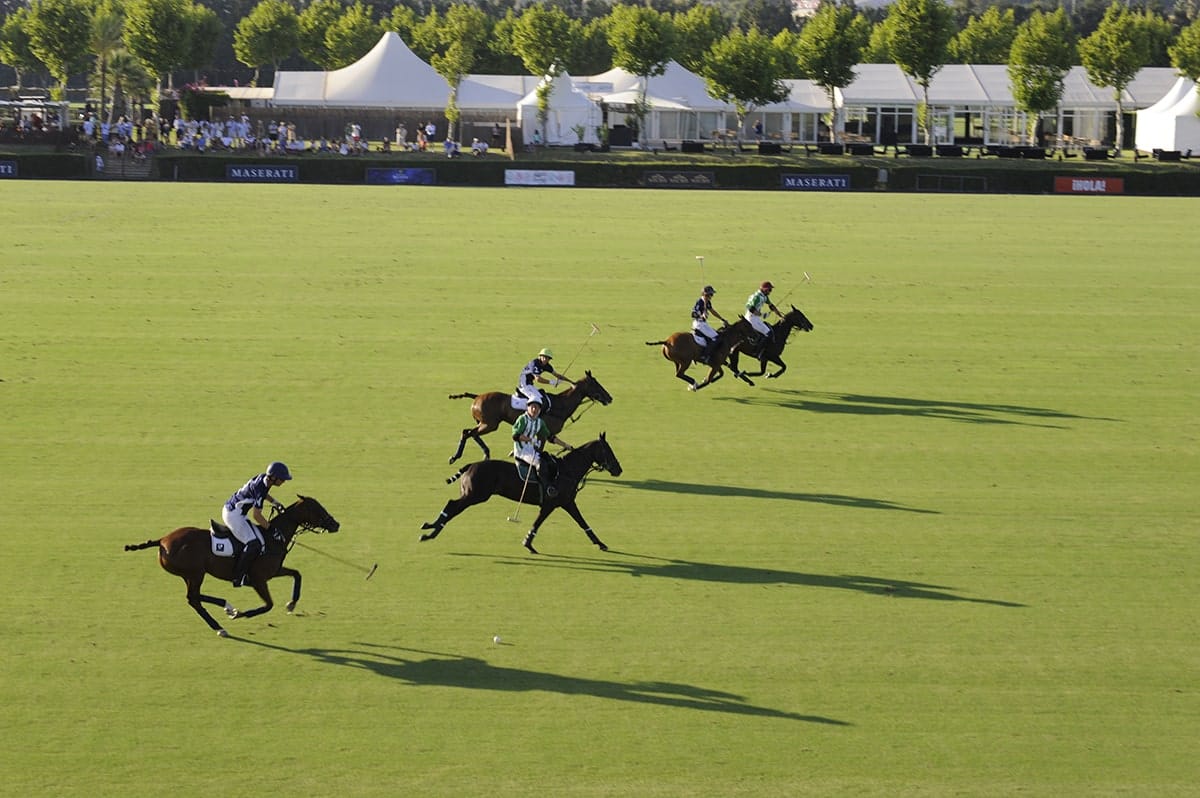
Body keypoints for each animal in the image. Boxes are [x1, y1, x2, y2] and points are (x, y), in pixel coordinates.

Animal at [124, 494, 340, 638]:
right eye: (317, 509)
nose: (336, 525)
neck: (273, 538)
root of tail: (162, 541)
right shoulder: (259, 579)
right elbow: (268, 605)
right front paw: (243, 614)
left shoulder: (273, 571)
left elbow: (297, 574)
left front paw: (291, 604)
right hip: (195, 573)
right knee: (193, 598)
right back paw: (223, 621)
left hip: (191, 574)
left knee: (194, 598)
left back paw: (226, 611)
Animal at [422, 436, 624, 554]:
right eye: (608, 450)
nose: (618, 470)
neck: (567, 471)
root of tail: (471, 465)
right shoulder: (556, 503)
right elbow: (545, 522)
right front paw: (528, 544)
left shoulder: (564, 503)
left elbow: (580, 522)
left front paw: (600, 543)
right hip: (475, 495)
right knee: (452, 505)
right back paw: (430, 533)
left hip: (473, 495)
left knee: (452, 505)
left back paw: (429, 528)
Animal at [446, 369, 614, 463]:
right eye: (596, 384)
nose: (610, 398)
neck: (560, 404)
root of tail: (477, 397)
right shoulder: (543, 435)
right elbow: (538, 450)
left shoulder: (549, 434)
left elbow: (564, 445)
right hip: (490, 424)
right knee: (467, 433)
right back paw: (455, 456)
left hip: (485, 423)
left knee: (470, 432)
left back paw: (486, 454)